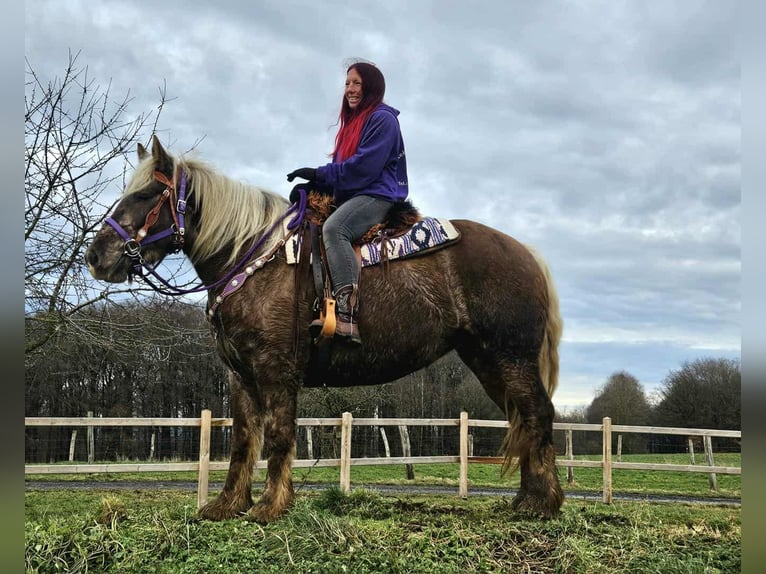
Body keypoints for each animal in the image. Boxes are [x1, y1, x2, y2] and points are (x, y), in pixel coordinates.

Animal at [85, 135, 565, 522]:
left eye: (147, 193)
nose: (96, 256)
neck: (253, 258)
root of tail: (527, 254)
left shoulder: (277, 370)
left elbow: (279, 435)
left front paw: (270, 506)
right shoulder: (240, 375)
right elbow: (243, 439)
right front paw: (226, 505)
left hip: (511, 357)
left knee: (538, 413)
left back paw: (543, 503)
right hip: (487, 360)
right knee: (522, 417)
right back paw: (527, 498)